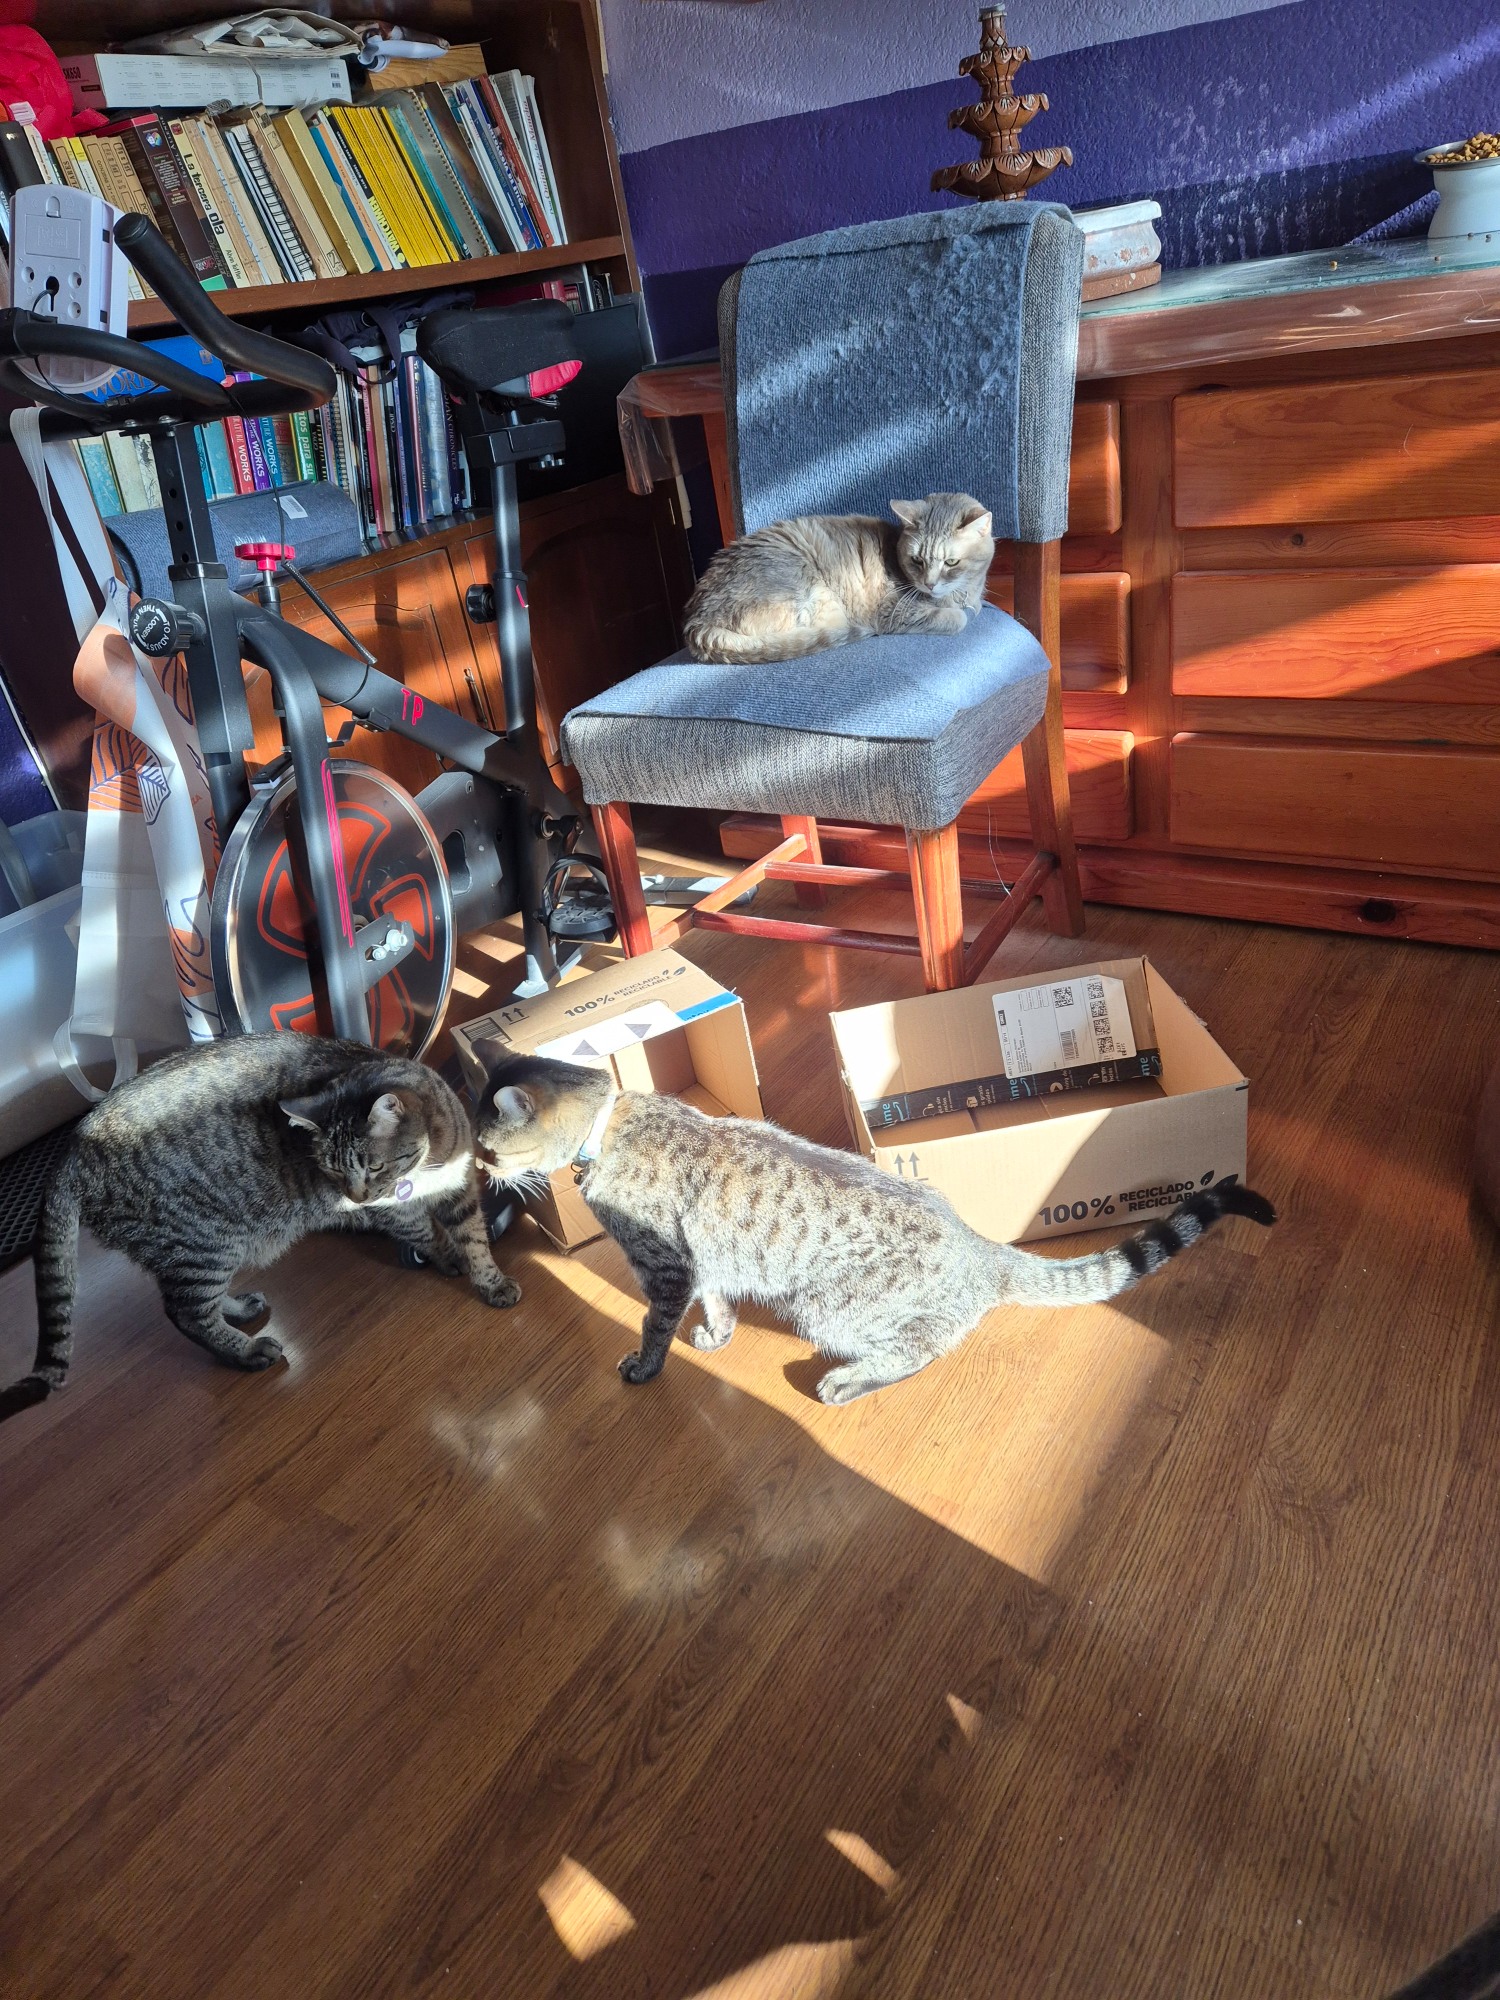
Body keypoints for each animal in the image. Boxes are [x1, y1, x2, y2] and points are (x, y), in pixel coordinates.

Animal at [0, 1032, 518, 1420]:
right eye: (332, 1171)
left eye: (371, 1167)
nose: (355, 1197)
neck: (432, 1160)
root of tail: (72, 1146)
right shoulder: (397, 1210)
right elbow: (427, 1233)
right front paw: (449, 1258)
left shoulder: (459, 1187)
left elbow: (474, 1238)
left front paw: (489, 1279)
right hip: (205, 1243)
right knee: (185, 1311)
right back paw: (244, 1352)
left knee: (195, 1301)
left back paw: (238, 1309)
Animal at [468, 1050, 1276, 1405]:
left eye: (486, 1147)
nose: (475, 1173)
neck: (608, 1125)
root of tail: (980, 1246)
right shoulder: (708, 1263)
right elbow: (719, 1300)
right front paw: (717, 1336)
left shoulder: (665, 1267)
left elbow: (653, 1325)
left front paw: (645, 1366)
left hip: (829, 1309)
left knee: (923, 1352)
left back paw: (847, 1382)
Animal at [681, 492, 995, 665]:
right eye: (916, 560)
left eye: (951, 562)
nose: (929, 583)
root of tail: (697, 620)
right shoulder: (894, 611)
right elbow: (957, 618)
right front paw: (958, 612)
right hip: (817, 598)